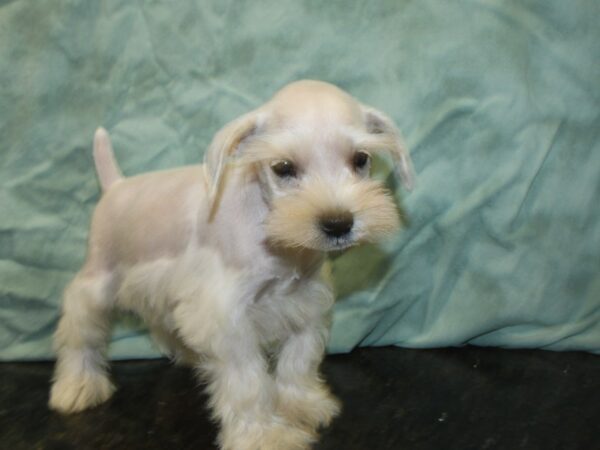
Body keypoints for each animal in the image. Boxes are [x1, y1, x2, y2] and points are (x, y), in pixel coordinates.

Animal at [49, 81, 414, 450]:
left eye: (360, 159)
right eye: (283, 167)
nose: (338, 223)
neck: (278, 244)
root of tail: (116, 185)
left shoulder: (306, 305)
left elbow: (299, 361)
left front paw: (301, 404)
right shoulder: (228, 319)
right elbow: (247, 382)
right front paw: (264, 435)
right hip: (98, 282)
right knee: (80, 332)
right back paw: (78, 386)